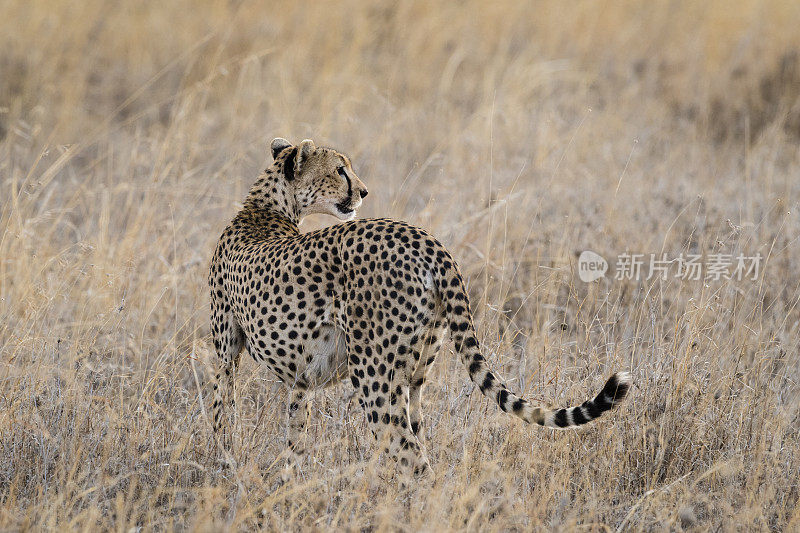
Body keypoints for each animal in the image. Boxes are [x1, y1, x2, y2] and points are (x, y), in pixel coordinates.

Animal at [208, 137, 632, 478]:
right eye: (339, 170)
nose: (364, 191)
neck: (266, 208)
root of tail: (425, 238)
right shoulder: (301, 379)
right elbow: (293, 434)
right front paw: (289, 483)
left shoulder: (225, 353)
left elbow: (220, 413)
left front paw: (224, 468)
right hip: (415, 374)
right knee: (417, 436)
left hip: (373, 376)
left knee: (409, 454)